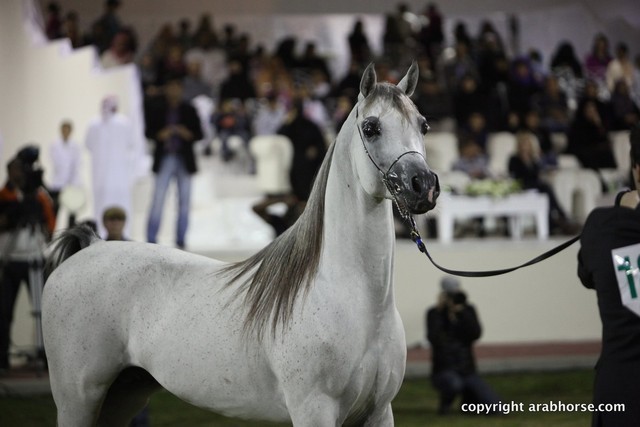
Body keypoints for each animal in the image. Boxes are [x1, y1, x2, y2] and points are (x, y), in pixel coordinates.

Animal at [42, 62, 440, 426]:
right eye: (371, 128)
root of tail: (91, 245)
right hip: (78, 398)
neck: (354, 300)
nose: (423, 185)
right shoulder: (313, 410)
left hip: (123, 397)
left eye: (423, 124)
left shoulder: (379, 412)